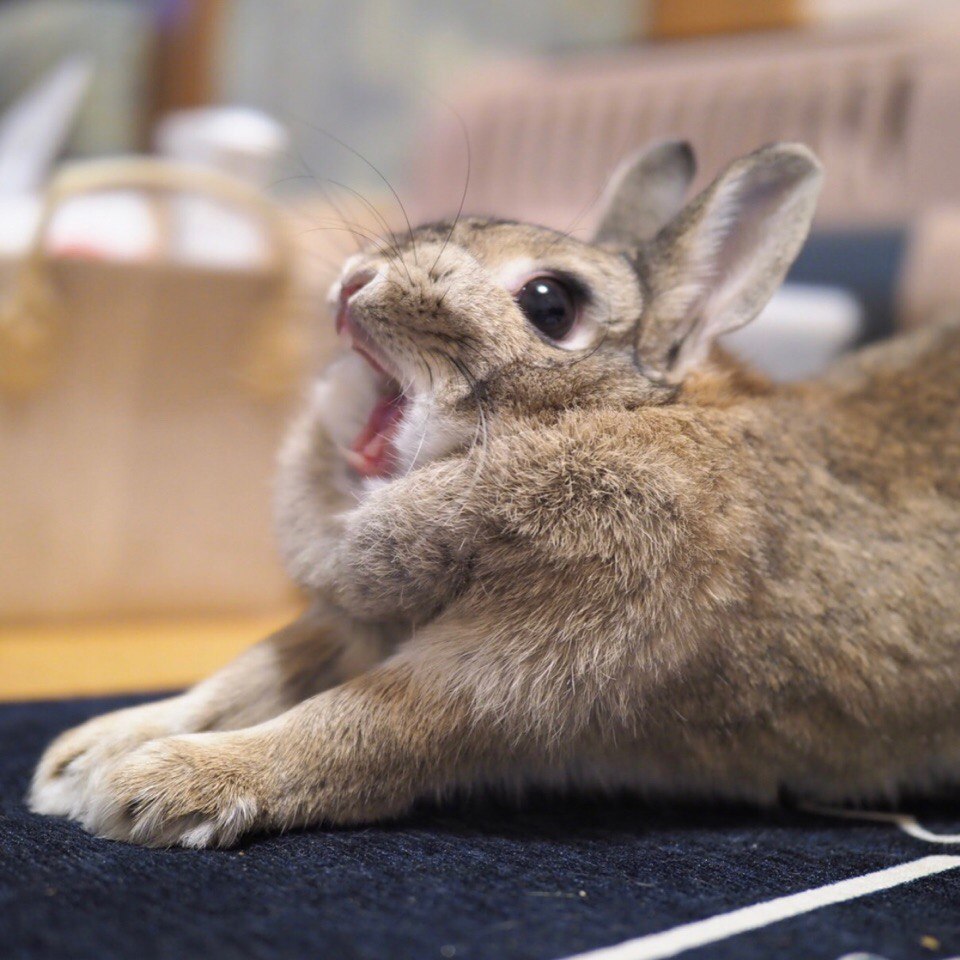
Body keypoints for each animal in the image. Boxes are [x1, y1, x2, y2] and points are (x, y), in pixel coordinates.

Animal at [28, 139, 960, 852]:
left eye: (551, 303)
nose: (357, 280)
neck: (605, 412)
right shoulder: (351, 622)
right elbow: (247, 674)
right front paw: (80, 759)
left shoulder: (526, 665)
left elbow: (355, 725)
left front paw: (157, 789)